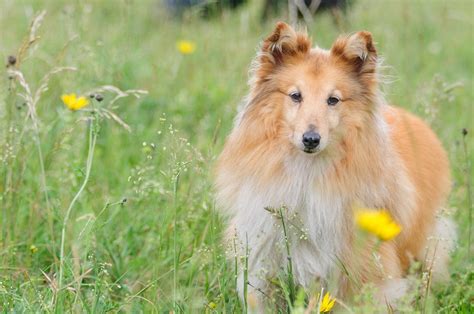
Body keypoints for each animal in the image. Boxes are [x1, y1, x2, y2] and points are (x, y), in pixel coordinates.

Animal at [216, 22, 456, 312]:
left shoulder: (353, 271)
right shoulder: (263, 258)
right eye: (295, 95)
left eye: (333, 100)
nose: (311, 139)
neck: (307, 173)